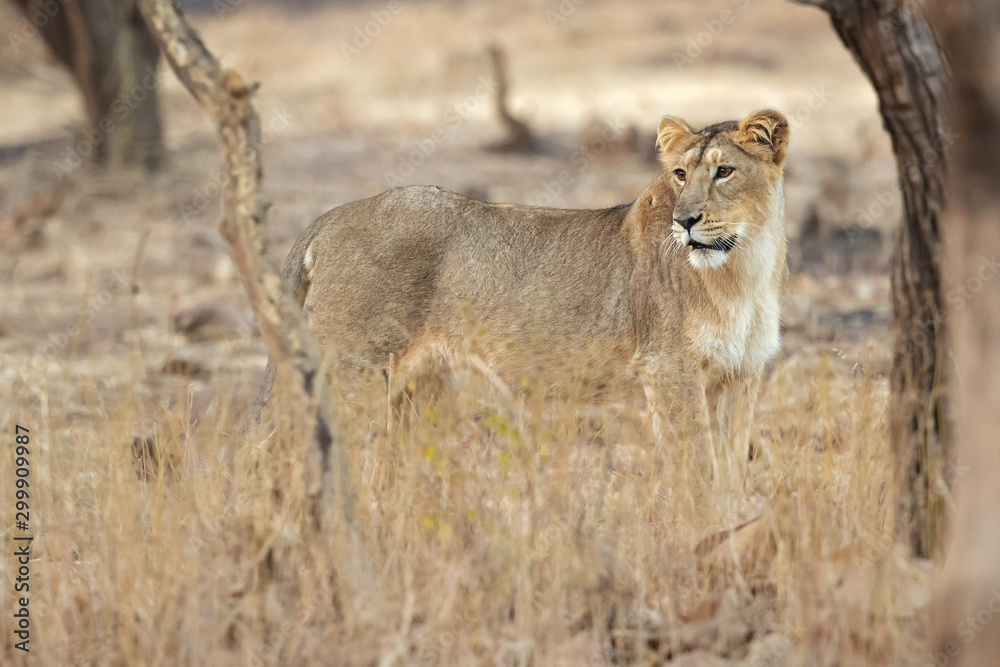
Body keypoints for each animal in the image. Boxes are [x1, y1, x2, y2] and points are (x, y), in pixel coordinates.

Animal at [256, 108, 788, 496]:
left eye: (724, 171)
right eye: (679, 174)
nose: (685, 221)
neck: (744, 268)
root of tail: (332, 217)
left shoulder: (739, 375)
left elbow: (731, 473)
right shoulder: (668, 369)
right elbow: (695, 472)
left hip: (411, 389)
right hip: (349, 371)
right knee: (284, 448)